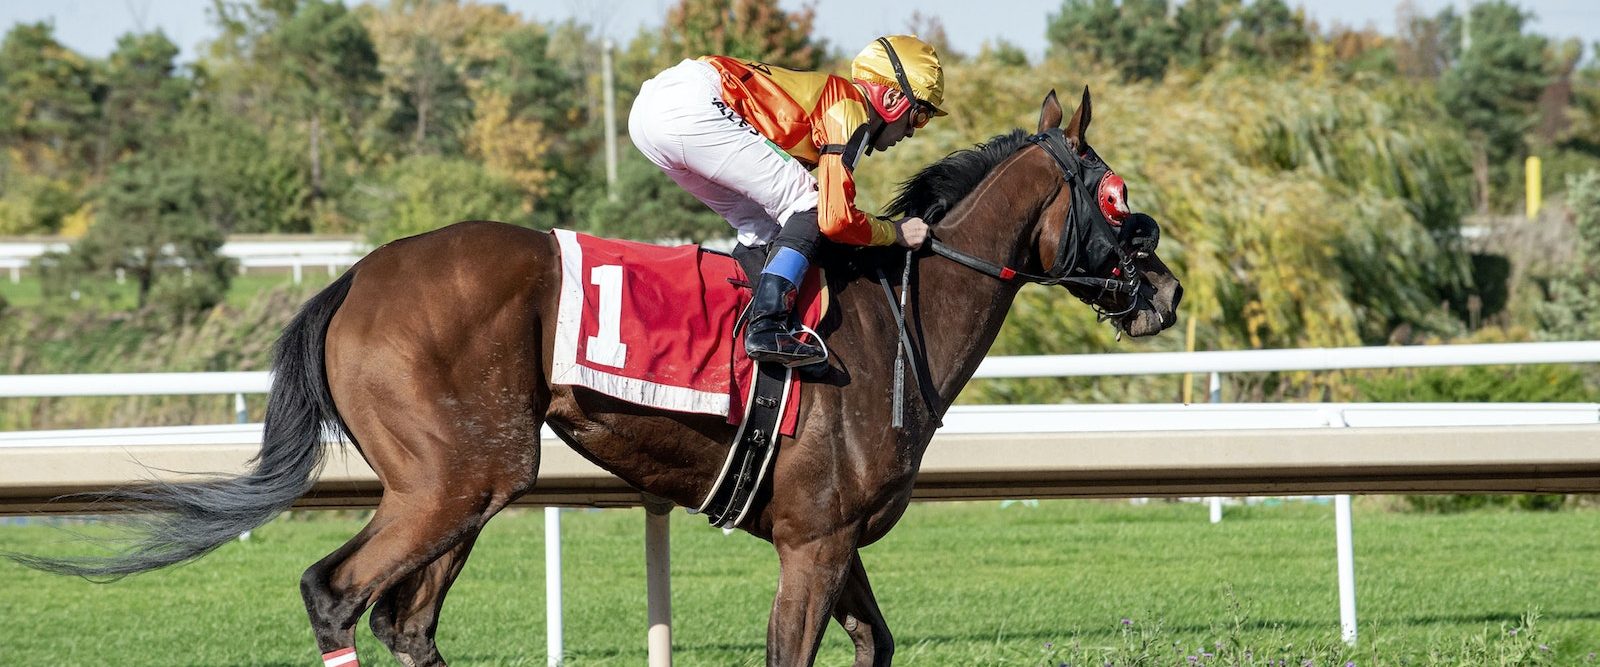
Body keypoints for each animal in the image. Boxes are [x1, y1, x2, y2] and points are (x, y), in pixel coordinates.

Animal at [11, 88, 1181, 666]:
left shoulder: (834, 536)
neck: (900, 319)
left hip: (467, 481)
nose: (1165, 290)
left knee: (405, 621)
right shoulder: (811, 543)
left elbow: (876, 642)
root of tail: (351, 278)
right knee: (336, 595)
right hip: (455, 477)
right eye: (1119, 196)